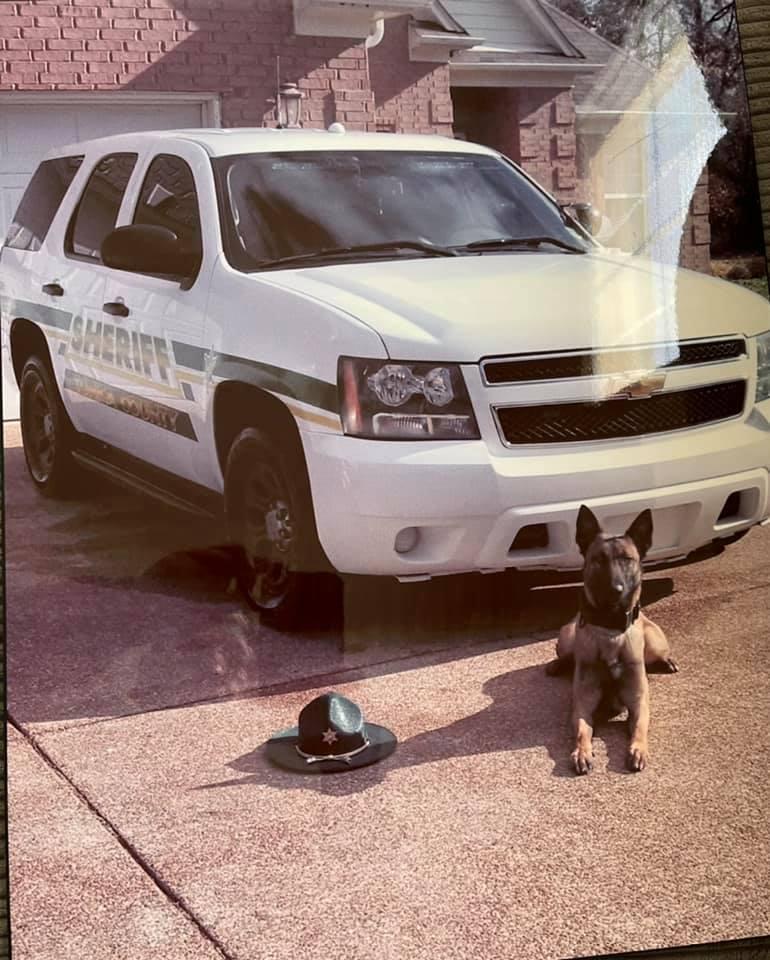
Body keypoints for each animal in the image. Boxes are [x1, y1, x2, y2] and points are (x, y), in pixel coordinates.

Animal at [544, 506, 676, 776]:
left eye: (626, 559)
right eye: (598, 560)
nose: (616, 589)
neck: (610, 629)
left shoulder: (639, 701)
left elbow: (639, 727)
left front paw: (638, 750)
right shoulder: (583, 704)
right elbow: (582, 729)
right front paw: (581, 752)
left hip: (654, 642)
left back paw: (667, 662)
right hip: (567, 637)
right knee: (566, 655)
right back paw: (557, 665)